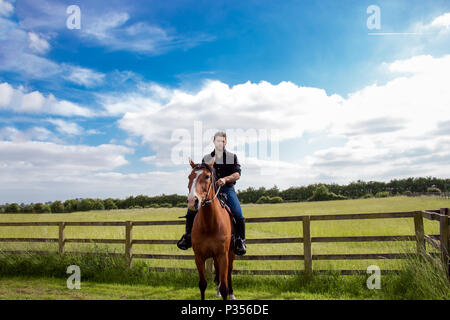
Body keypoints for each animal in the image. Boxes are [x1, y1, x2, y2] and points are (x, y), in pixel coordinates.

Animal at [186, 158, 236, 300]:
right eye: (189, 177)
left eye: (207, 176)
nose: (192, 201)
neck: (209, 224)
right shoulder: (199, 256)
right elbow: (202, 284)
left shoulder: (223, 255)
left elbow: (224, 286)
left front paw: (226, 292)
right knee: (218, 272)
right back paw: (217, 291)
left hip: (231, 254)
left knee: (228, 272)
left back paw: (231, 294)